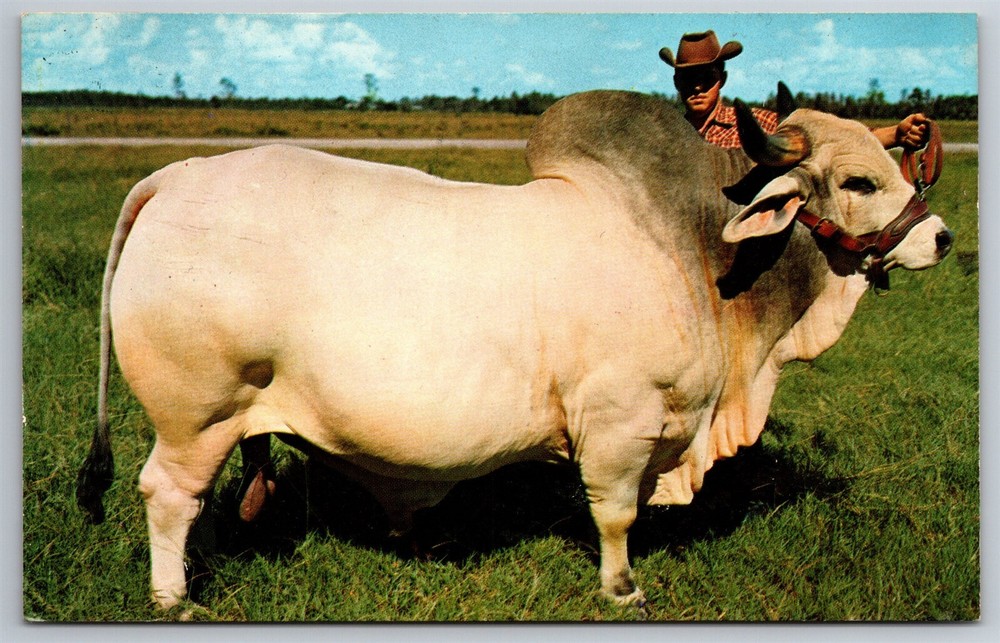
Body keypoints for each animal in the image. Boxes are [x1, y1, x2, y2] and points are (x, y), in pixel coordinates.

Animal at [77, 88, 953, 611]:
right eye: (860, 182)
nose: (942, 236)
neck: (692, 249)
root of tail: (177, 177)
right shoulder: (619, 423)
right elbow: (615, 513)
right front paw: (622, 589)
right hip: (196, 412)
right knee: (166, 494)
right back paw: (174, 598)